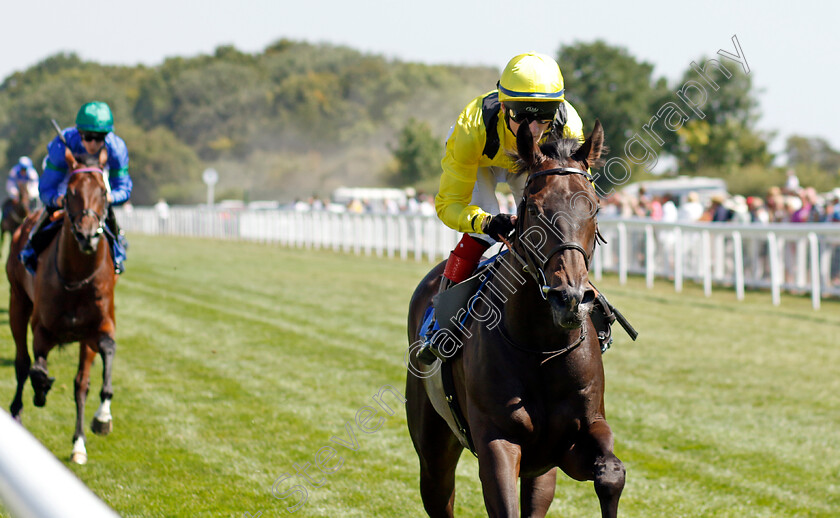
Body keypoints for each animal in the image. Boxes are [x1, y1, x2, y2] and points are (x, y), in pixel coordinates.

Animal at [7, 146, 116, 468]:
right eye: (70, 191)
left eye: (104, 192)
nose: (87, 235)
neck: (77, 278)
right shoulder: (42, 329)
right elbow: (36, 369)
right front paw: (41, 393)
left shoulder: (97, 329)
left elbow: (92, 376)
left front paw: (100, 421)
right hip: (17, 302)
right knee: (22, 363)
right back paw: (18, 411)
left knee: (80, 383)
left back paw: (79, 442)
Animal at [406, 120, 624, 516]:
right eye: (535, 209)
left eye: (595, 207)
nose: (569, 298)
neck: (541, 348)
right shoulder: (497, 441)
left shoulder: (571, 441)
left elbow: (612, 474)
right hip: (432, 447)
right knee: (438, 490)